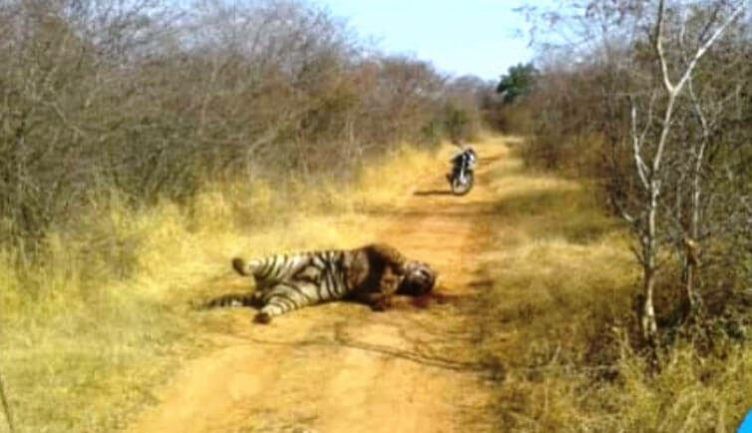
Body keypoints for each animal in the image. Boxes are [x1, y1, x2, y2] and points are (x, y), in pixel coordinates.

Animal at [231, 243, 437, 324]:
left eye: (427, 287)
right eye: (427, 277)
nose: (423, 286)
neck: (402, 282)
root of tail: (265, 290)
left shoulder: (363, 291)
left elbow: (378, 294)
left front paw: (383, 301)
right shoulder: (377, 249)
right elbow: (393, 256)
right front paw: (396, 271)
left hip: (289, 297)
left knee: (270, 307)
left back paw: (263, 317)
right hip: (279, 262)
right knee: (251, 266)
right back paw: (237, 263)